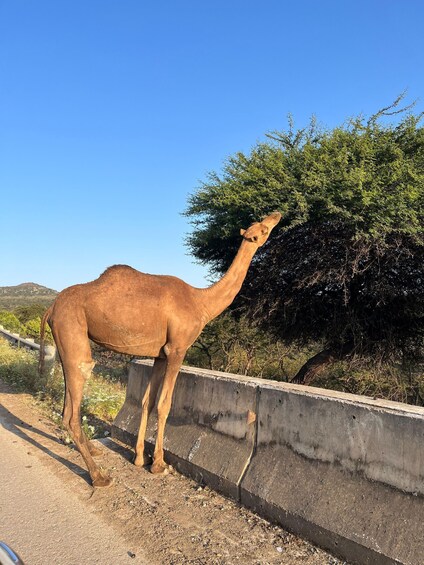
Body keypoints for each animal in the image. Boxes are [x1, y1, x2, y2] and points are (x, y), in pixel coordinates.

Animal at [39, 210, 282, 484]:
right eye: (263, 230)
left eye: (261, 222)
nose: (277, 214)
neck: (201, 303)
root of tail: (51, 308)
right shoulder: (177, 349)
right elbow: (165, 404)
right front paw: (158, 463)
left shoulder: (160, 355)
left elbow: (148, 401)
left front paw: (139, 457)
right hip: (72, 330)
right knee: (76, 394)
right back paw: (99, 476)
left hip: (65, 343)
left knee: (67, 403)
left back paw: (92, 450)